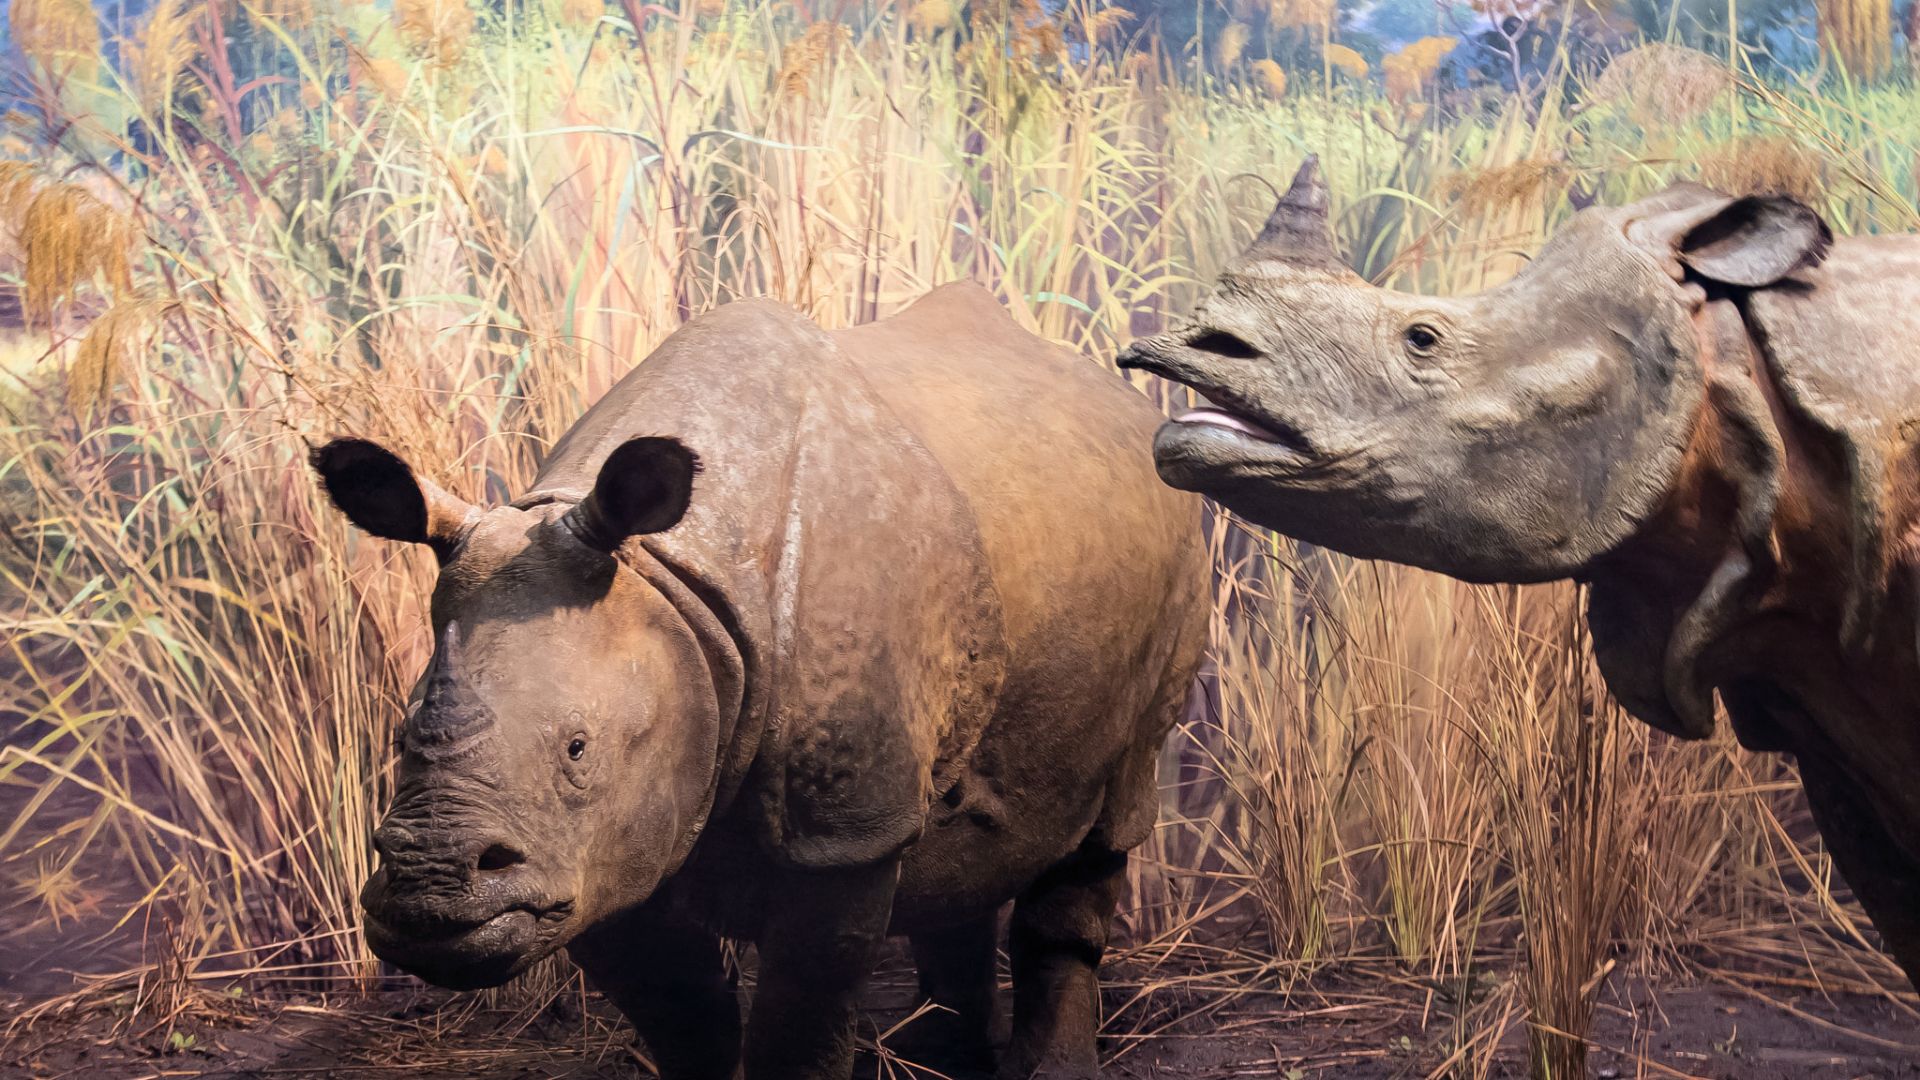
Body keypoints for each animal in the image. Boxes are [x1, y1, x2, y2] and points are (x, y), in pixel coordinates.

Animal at [313, 283, 1207, 1080]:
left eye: (577, 746)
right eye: (403, 734)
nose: (430, 885)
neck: (671, 582)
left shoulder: (840, 832)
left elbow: (797, 1023)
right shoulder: (593, 854)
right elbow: (684, 1016)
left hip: (1178, 534)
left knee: (1108, 819)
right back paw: (951, 1060)